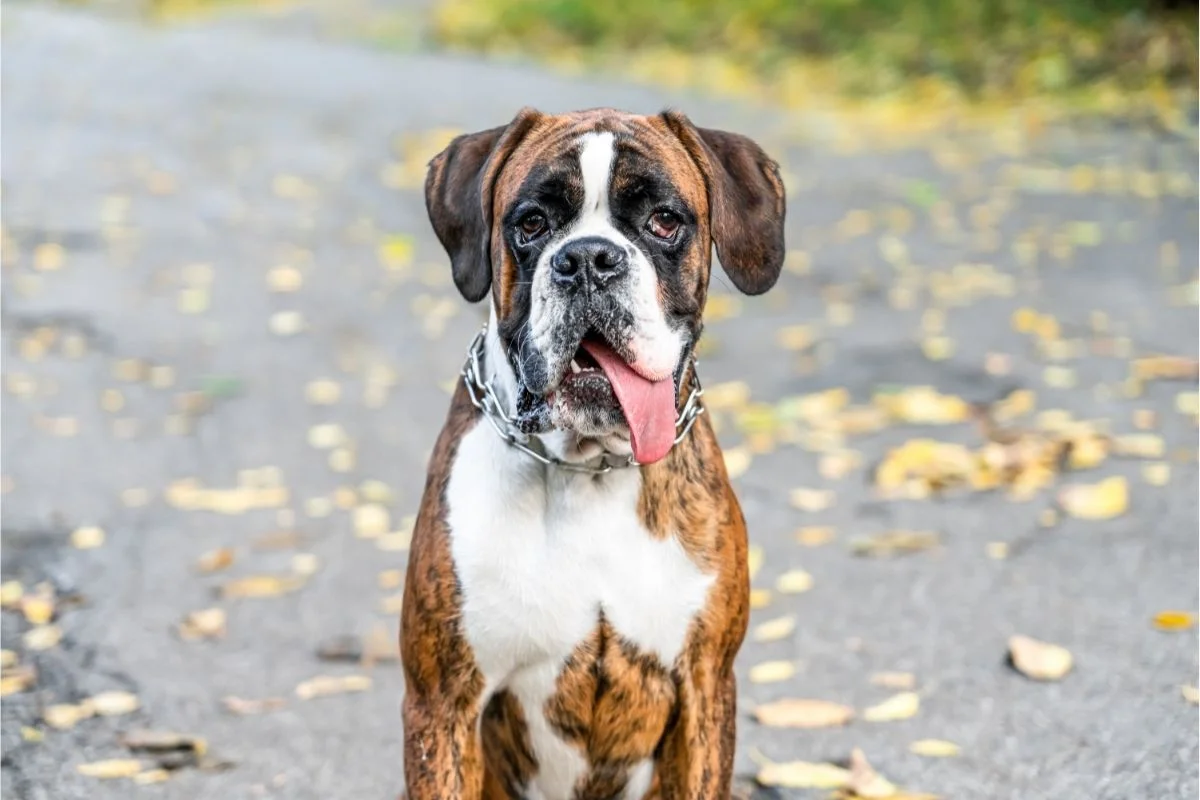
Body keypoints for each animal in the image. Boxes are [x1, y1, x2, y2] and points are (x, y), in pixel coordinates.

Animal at [403, 107, 787, 800]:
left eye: (664, 220)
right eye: (531, 223)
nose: (587, 258)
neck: (590, 467)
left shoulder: (705, 693)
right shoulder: (442, 706)